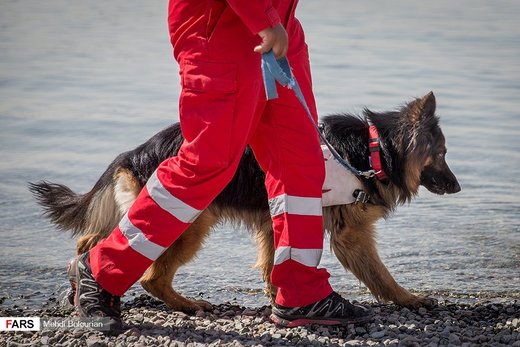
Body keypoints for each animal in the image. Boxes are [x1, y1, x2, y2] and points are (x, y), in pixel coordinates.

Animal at [29, 92, 460, 312]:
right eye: (441, 154)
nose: (458, 188)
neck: (374, 149)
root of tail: (134, 153)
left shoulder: (277, 219)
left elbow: (273, 265)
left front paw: (283, 301)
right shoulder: (350, 234)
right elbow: (380, 274)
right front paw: (409, 299)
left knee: (90, 242)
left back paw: (81, 282)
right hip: (190, 222)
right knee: (149, 275)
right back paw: (187, 304)